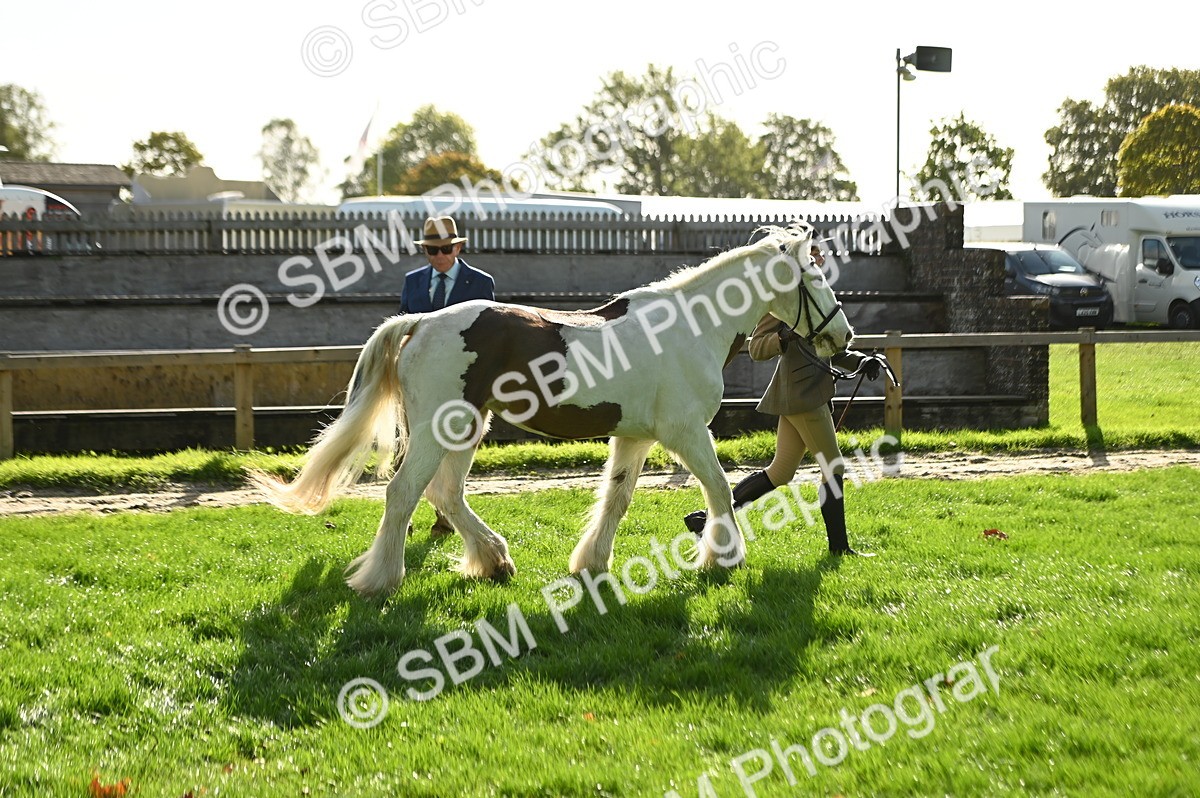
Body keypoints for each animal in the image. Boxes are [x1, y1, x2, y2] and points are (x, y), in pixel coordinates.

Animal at [252, 224, 854, 597]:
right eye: (815, 278)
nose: (843, 337)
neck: (690, 326)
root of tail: (420, 322)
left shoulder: (635, 437)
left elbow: (616, 499)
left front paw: (592, 563)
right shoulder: (685, 432)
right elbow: (721, 489)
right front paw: (722, 558)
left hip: (466, 428)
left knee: (445, 494)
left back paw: (494, 561)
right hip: (440, 430)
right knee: (404, 494)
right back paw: (382, 579)